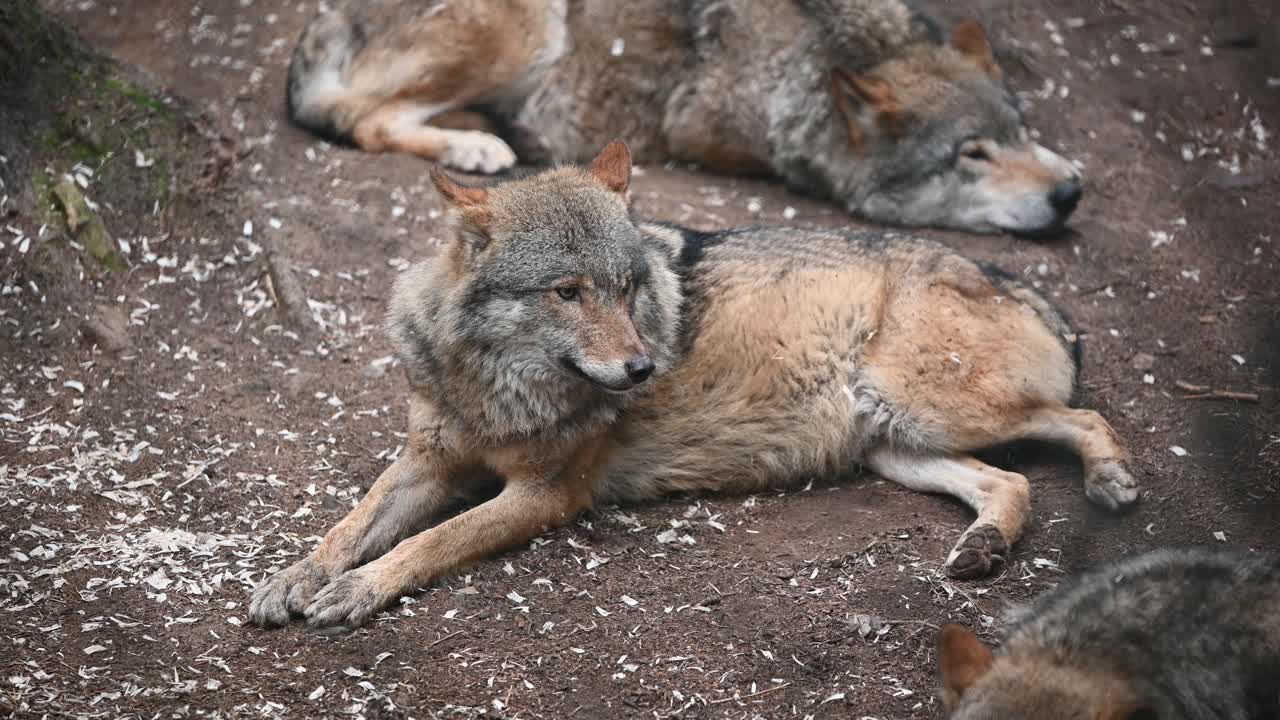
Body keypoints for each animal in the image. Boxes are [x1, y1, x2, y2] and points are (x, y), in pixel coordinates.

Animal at [248, 141, 1136, 630]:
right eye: (568, 291)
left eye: (627, 285)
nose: (643, 369)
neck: (493, 389)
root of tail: (1039, 295)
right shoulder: (428, 461)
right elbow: (349, 524)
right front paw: (295, 577)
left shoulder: (544, 496)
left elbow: (428, 543)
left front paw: (358, 591)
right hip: (900, 447)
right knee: (1013, 483)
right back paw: (985, 547)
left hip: (932, 409)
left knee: (1084, 420)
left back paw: (1111, 480)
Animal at [285, 0, 1084, 235]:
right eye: (972, 154)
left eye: (1020, 131)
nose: (1071, 191)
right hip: (528, 26)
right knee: (358, 117)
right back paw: (478, 145)